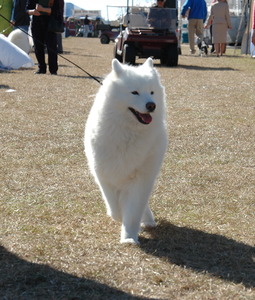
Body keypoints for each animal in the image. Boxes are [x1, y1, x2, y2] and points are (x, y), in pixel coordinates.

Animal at [84, 58, 168, 244]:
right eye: (134, 93)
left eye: (151, 92)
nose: (151, 105)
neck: (128, 132)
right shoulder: (104, 174)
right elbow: (114, 206)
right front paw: (118, 216)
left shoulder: (141, 178)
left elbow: (133, 211)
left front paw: (129, 237)